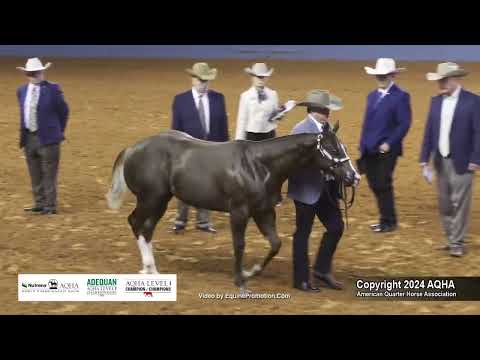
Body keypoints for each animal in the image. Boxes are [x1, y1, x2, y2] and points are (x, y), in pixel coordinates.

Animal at [106, 124, 360, 292]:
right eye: (333, 149)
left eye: (343, 147)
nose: (353, 177)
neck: (259, 166)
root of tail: (132, 148)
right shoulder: (239, 212)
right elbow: (239, 244)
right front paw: (240, 281)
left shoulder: (264, 211)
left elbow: (275, 244)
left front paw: (250, 272)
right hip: (152, 198)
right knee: (138, 223)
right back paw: (150, 268)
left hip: (159, 199)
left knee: (143, 226)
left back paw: (150, 269)